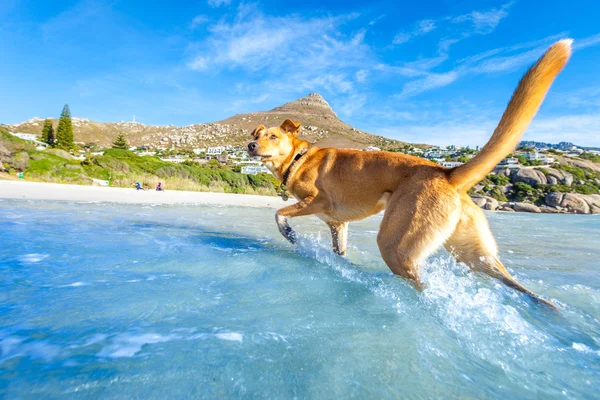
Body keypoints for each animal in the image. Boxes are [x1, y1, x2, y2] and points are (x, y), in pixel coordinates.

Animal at [247, 39, 572, 306]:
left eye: (272, 136)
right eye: (258, 135)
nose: (250, 145)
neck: (298, 158)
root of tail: (446, 172)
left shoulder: (318, 201)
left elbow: (279, 214)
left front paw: (289, 234)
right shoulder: (338, 225)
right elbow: (339, 251)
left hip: (396, 245)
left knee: (422, 286)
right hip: (472, 253)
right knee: (516, 284)